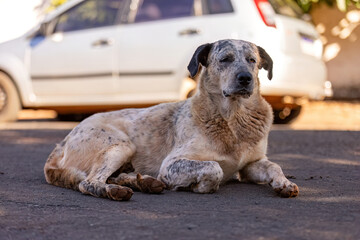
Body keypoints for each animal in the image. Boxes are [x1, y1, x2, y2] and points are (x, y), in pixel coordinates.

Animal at [44, 39, 298, 201]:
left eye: (252, 60)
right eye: (225, 59)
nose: (245, 78)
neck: (233, 118)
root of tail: (60, 144)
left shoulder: (251, 165)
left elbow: (274, 166)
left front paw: (284, 183)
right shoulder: (172, 164)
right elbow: (214, 168)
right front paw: (198, 187)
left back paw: (142, 182)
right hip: (122, 145)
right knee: (88, 182)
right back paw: (115, 191)